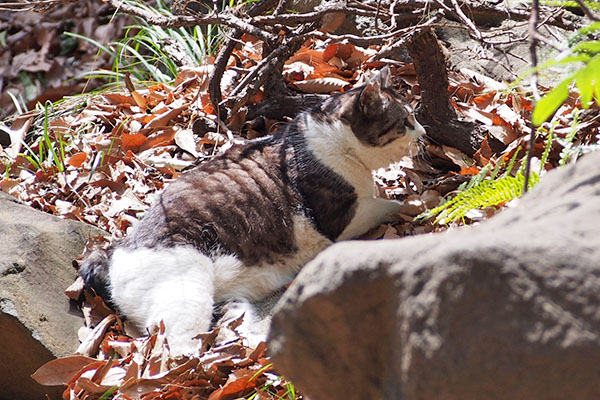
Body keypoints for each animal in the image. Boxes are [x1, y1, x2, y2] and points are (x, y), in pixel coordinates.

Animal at [79, 67, 424, 354]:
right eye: (405, 121)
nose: (422, 134)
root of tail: (115, 249)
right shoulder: (341, 217)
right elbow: (389, 203)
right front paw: (417, 202)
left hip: (230, 300)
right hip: (186, 292)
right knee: (173, 349)